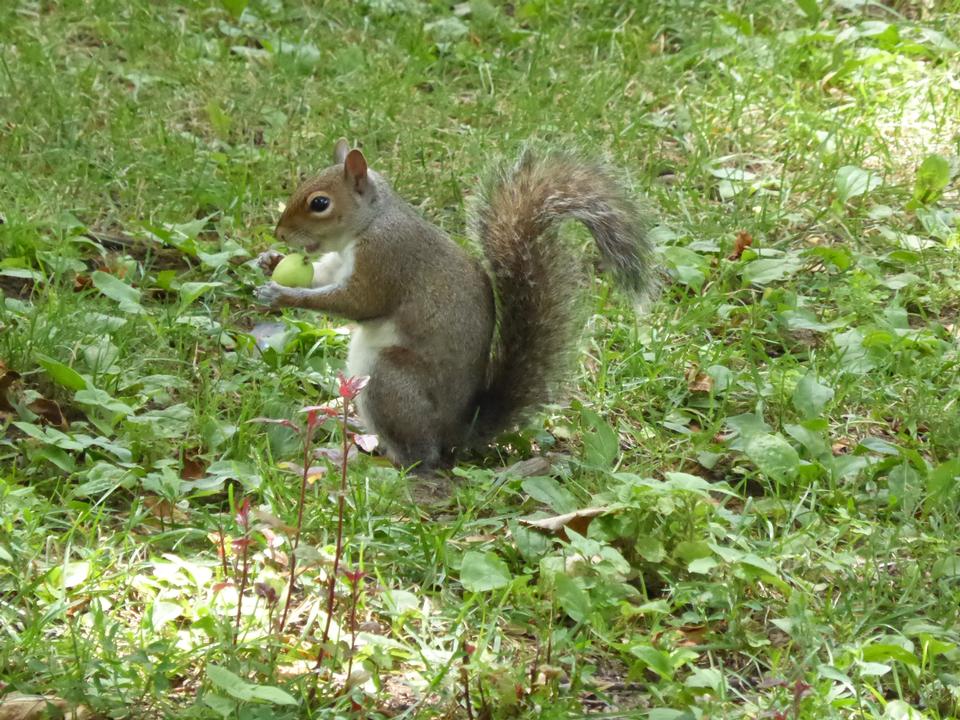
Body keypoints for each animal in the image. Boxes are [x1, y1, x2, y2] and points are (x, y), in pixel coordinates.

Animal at [256, 139, 660, 472]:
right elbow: (321, 276)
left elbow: (357, 303)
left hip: (389, 381)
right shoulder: (337, 264)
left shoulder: (387, 260)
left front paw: (280, 294)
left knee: (417, 458)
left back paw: (362, 460)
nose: (280, 234)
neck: (370, 224)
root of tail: (457, 431)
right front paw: (270, 261)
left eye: (320, 203)